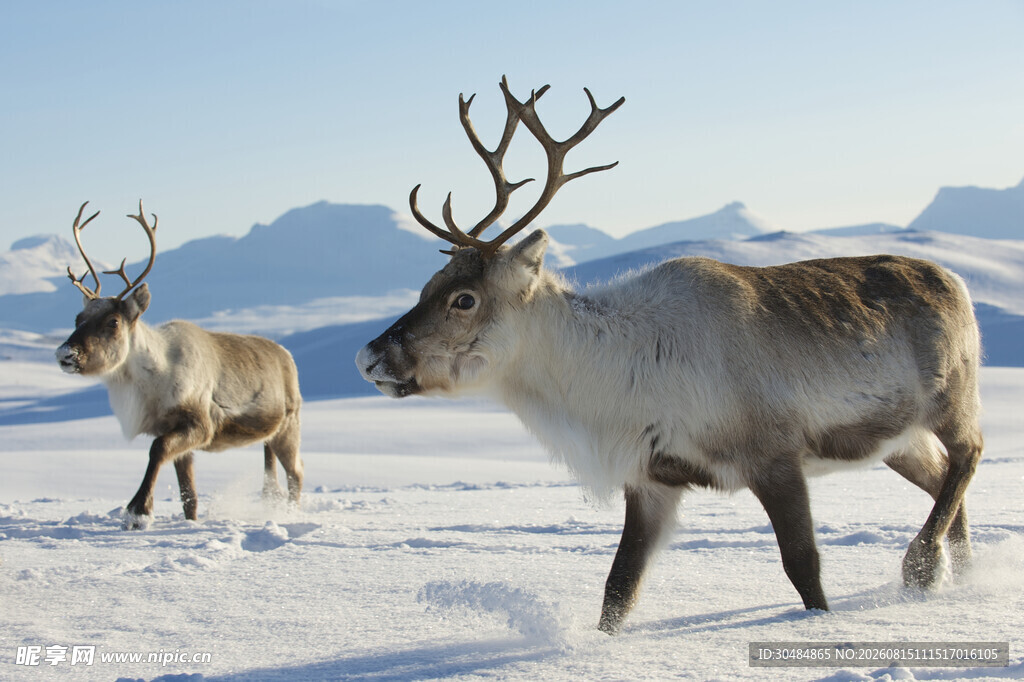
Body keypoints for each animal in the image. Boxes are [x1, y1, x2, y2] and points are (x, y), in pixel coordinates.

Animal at [56, 201, 304, 530]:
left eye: (113, 321)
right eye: (77, 319)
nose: (65, 354)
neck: (153, 380)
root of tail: (287, 355)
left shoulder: (199, 424)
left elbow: (157, 449)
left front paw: (138, 512)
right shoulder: (174, 432)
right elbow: (189, 495)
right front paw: (187, 522)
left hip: (289, 425)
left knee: (296, 473)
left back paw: (290, 515)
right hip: (270, 435)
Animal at [355, 77, 984, 634]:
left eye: (464, 298)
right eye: (427, 285)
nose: (368, 356)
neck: (614, 378)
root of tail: (955, 279)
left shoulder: (773, 454)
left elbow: (803, 567)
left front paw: (823, 629)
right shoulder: (652, 478)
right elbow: (618, 589)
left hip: (951, 398)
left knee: (968, 455)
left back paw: (922, 567)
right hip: (896, 439)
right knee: (942, 481)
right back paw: (962, 576)